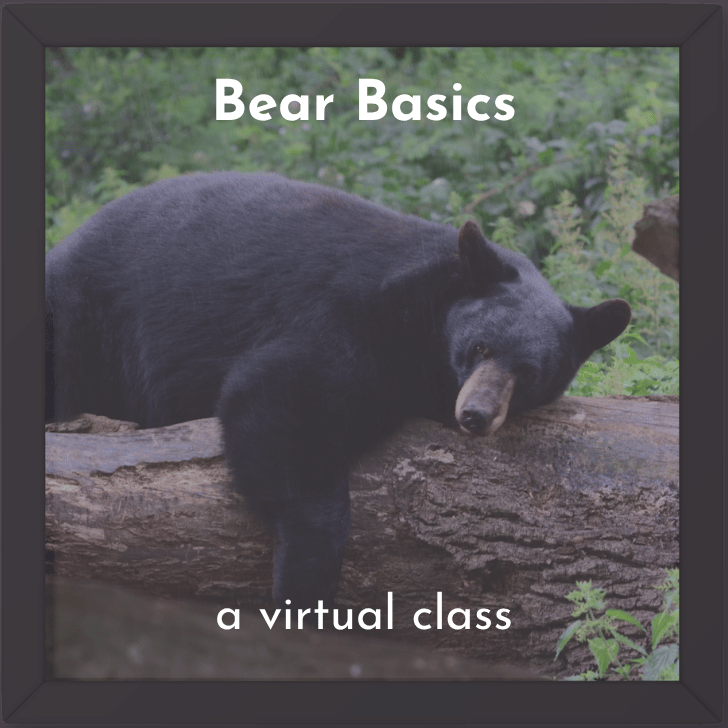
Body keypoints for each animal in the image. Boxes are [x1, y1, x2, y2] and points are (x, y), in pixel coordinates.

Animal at [45, 172, 631, 608]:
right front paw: (306, 582)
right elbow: (282, 395)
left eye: (529, 373)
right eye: (480, 347)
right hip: (86, 317)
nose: (476, 415)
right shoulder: (354, 315)